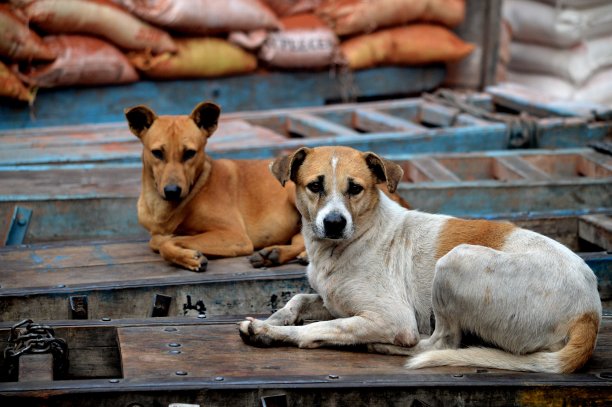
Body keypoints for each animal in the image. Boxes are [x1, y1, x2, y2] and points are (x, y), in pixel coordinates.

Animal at [124, 101, 306, 270]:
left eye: (190, 153)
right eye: (157, 153)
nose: (172, 191)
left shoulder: (235, 235)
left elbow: (165, 243)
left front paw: (188, 256)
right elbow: (157, 240)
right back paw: (276, 254)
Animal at [239, 146, 604, 372]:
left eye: (355, 188)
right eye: (315, 186)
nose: (334, 223)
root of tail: (590, 313)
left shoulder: (392, 318)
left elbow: (320, 328)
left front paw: (268, 331)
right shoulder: (333, 300)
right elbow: (299, 299)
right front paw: (277, 318)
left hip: (455, 262)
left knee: (440, 343)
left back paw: (383, 347)